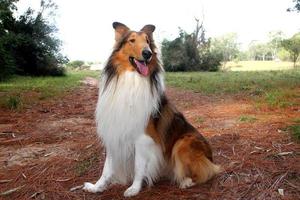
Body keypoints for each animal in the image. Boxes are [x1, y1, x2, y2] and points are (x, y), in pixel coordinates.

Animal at [82, 21, 220, 197]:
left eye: (147, 41)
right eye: (132, 40)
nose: (147, 53)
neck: (131, 81)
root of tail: (211, 156)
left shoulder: (143, 138)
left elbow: (139, 166)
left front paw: (134, 188)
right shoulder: (115, 132)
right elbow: (107, 168)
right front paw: (97, 187)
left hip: (182, 143)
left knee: (207, 171)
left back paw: (186, 181)